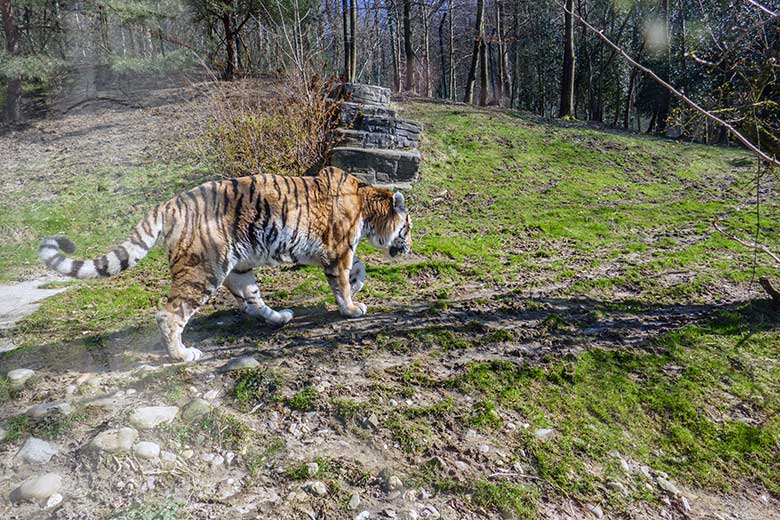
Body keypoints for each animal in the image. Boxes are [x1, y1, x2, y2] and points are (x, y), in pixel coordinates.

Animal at [38, 167, 412, 362]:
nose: (408, 247)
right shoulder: (337, 250)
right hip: (204, 270)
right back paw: (182, 355)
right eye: (407, 227)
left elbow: (357, 269)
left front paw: (358, 285)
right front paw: (351, 307)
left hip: (239, 267)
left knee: (252, 301)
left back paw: (279, 317)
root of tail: (169, 203)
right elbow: (344, 280)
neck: (368, 206)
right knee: (170, 314)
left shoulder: (334, 252)